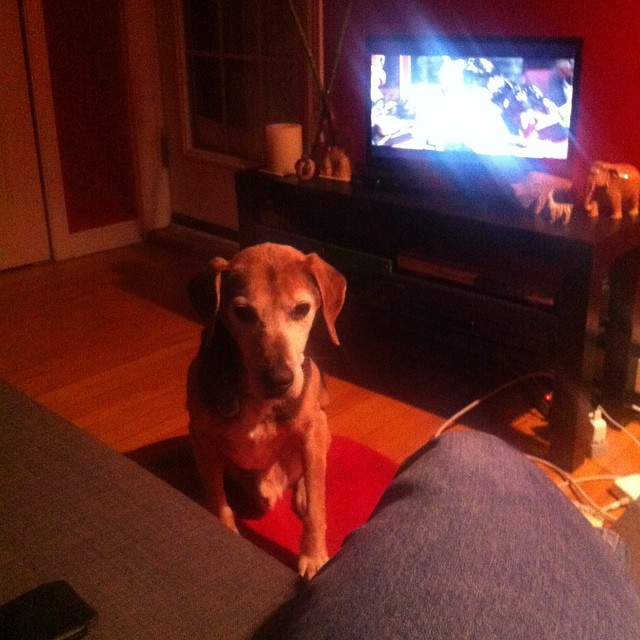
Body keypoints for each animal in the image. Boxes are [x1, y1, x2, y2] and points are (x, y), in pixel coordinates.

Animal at [186, 241, 344, 580]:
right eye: (243, 312)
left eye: (302, 309)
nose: (280, 380)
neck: (257, 400)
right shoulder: (202, 438)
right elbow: (217, 497)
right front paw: (223, 528)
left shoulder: (312, 428)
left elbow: (317, 506)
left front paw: (314, 555)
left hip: (321, 428)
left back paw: (301, 490)